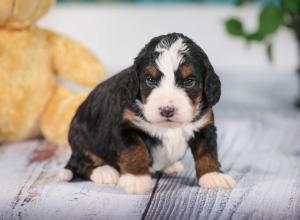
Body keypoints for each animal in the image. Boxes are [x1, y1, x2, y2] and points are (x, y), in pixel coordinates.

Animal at [59, 32, 236, 194]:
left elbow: (207, 151)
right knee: (81, 164)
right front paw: (136, 179)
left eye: (189, 81)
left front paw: (213, 175)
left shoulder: (205, 126)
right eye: (150, 80)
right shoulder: (125, 127)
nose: (167, 110)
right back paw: (104, 172)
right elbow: (136, 151)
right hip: (81, 138)